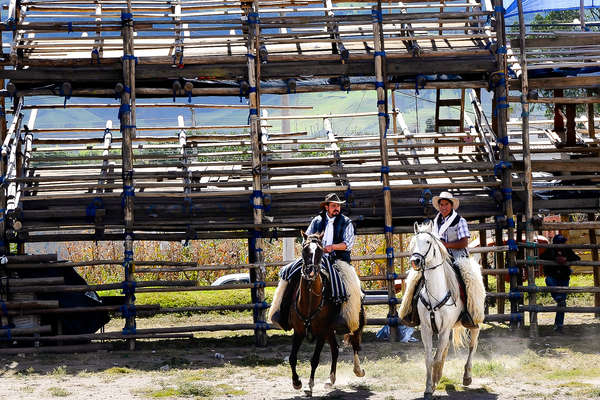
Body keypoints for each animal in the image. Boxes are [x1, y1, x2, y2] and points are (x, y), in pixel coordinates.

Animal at [288, 230, 366, 396]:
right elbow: (292, 357)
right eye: (304, 249)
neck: (310, 301)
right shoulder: (298, 331)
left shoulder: (321, 332)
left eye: (320, 251)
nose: (310, 272)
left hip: (354, 321)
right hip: (330, 331)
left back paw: (358, 370)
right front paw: (296, 382)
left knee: (355, 344)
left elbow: (315, 359)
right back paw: (331, 380)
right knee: (335, 350)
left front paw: (310, 385)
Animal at [406, 222, 486, 400]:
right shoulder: (427, 329)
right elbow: (429, 359)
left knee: (473, 345)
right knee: (446, 348)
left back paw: (467, 376)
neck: (435, 293)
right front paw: (429, 386)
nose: (415, 261)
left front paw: (435, 381)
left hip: (475, 322)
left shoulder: (444, 329)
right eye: (413, 243)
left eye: (428, 242)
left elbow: (436, 358)